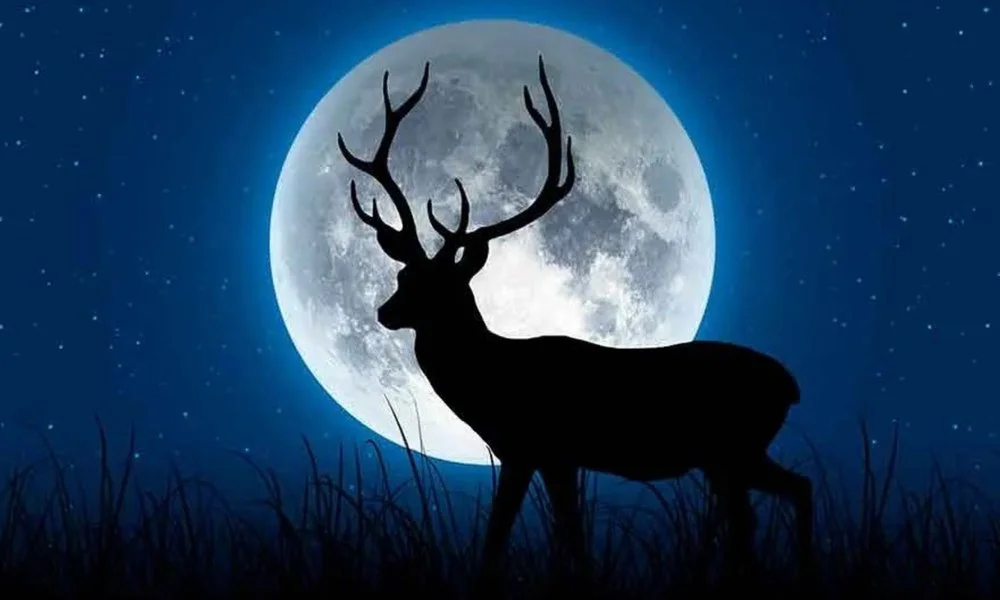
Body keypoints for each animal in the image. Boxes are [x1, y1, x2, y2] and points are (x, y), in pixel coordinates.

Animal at [336, 55, 814, 584]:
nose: (384, 312)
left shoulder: (537, 447)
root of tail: (789, 385)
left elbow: (512, 536)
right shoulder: (545, 457)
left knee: (768, 507)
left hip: (733, 447)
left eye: (440, 287)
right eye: (403, 275)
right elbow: (558, 534)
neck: (491, 379)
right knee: (784, 497)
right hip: (731, 455)